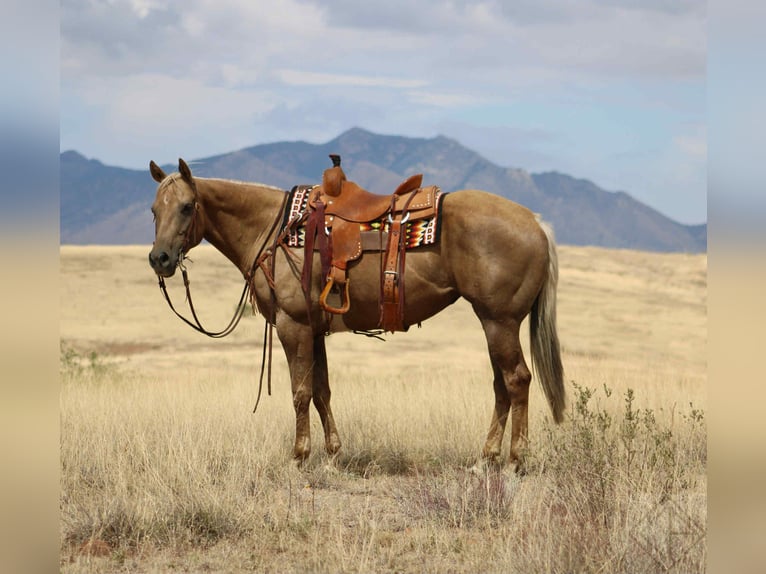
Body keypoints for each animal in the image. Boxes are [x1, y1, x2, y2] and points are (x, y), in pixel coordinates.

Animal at [148, 158, 565, 472]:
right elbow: (321, 391)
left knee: (517, 380)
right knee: (501, 385)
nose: (160, 259)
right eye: (154, 210)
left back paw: (514, 462)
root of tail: (536, 222)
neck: (272, 228)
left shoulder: (293, 325)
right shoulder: (314, 329)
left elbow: (300, 392)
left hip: (500, 321)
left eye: (187, 207)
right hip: (493, 323)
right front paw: (333, 455)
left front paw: (299, 456)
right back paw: (485, 459)